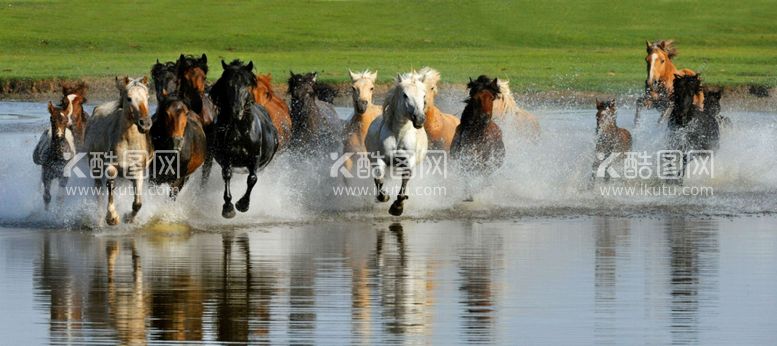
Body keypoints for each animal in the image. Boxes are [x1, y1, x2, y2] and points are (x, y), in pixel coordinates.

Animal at [83, 76, 153, 226]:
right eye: (129, 98)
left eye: (147, 97)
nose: (145, 123)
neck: (128, 142)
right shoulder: (111, 167)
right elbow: (110, 188)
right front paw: (112, 217)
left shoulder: (137, 171)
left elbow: (138, 203)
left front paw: (129, 218)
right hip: (95, 166)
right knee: (99, 190)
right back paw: (99, 217)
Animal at [366, 71, 428, 216]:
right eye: (405, 95)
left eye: (424, 95)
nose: (419, 119)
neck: (399, 135)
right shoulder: (380, 159)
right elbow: (379, 179)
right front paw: (384, 197)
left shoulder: (408, 161)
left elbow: (405, 181)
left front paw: (397, 207)